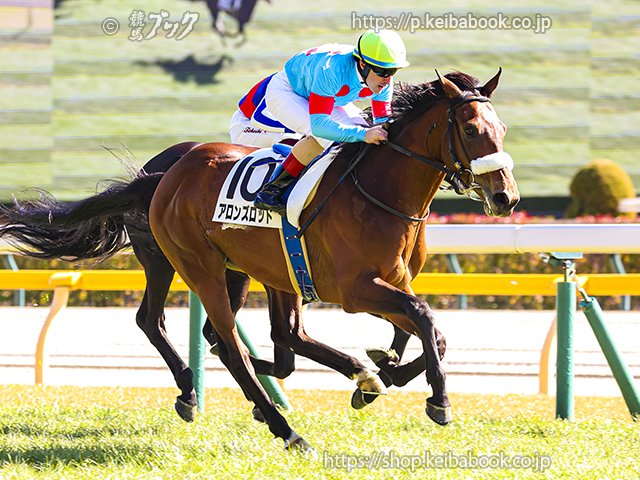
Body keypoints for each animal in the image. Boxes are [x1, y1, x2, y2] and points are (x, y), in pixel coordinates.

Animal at [145, 70, 520, 450]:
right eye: (470, 129)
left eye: (502, 128)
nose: (505, 197)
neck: (381, 190)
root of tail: (172, 172)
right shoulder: (353, 290)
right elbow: (423, 315)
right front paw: (439, 401)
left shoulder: (393, 282)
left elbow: (429, 333)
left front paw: (383, 371)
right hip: (199, 268)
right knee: (229, 348)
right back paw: (285, 428)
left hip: (259, 272)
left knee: (276, 335)